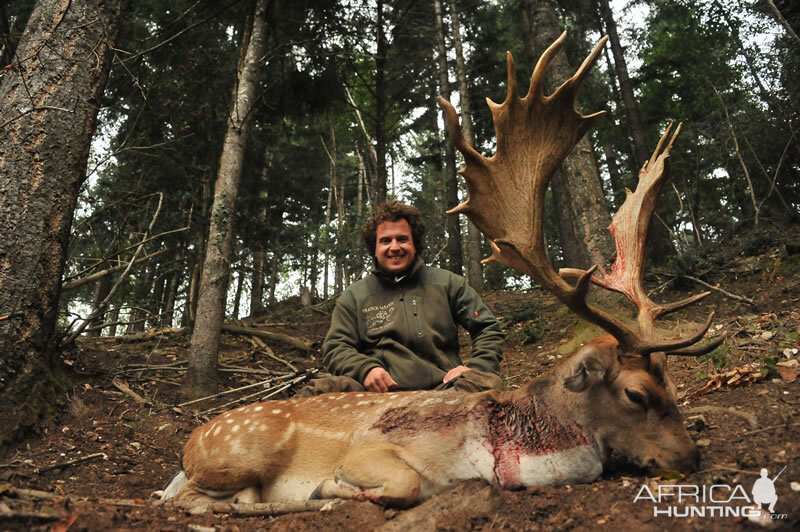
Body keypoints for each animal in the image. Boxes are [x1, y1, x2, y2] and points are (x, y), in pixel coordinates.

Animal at [159, 32, 720, 508]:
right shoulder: (373, 450)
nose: (691, 456)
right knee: (186, 498)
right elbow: (404, 483)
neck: (498, 449)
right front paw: (329, 489)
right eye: (636, 394)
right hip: (240, 449)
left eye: (672, 386)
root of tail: (190, 443)